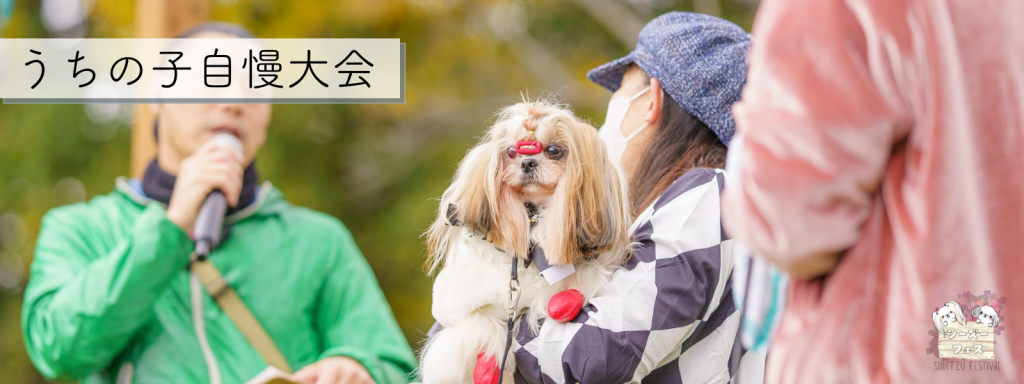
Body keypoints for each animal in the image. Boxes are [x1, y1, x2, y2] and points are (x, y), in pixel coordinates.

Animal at [417, 100, 630, 382]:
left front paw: (563, 301)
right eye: (510, 152)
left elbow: (582, 280)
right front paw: (490, 366)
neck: (533, 220)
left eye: (553, 150)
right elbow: (479, 326)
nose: (527, 163)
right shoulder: (460, 308)